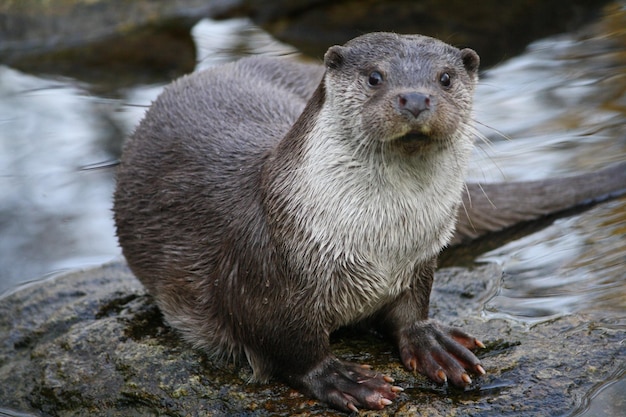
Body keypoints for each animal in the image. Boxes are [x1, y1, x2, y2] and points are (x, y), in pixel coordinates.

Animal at [112, 32, 482, 410]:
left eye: (445, 78)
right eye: (374, 77)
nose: (416, 98)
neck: (383, 248)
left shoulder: (421, 258)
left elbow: (412, 310)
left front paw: (431, 342)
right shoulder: (263, 275)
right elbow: (289, 345)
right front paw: (342, 378)